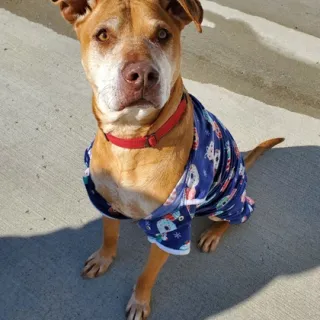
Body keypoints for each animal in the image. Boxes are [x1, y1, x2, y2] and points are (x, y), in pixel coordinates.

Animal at [51, 1, 284, 318]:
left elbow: (147, 274)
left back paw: (213, 233)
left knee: (240, 213)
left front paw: (139, 301)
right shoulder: (105, 201)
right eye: (103, 35)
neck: (133, 138)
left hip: (227, 202)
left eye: (162, 34)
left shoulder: (172, 229)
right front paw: (103, 258)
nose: (142, 74)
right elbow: (109, 235)